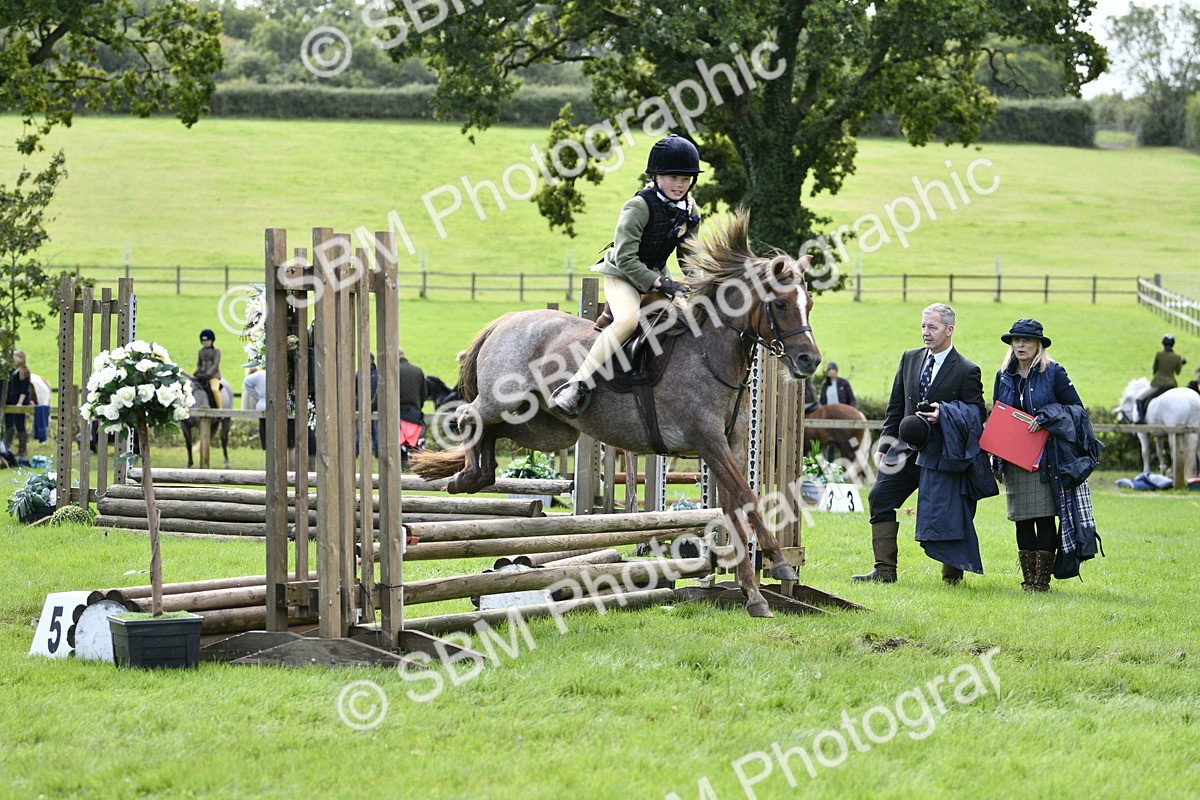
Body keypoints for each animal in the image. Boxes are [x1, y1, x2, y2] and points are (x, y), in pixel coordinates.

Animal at [411, 212, 823, 617]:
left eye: (809, 304)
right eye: (782, 305)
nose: (810, 361)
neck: (710, 352)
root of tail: (507, 320)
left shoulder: (730, 445)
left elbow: (738, 506)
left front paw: (754, 596)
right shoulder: (708, 440)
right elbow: (747, 498)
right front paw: (778, 562)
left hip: (548, 428)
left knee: (494, 432)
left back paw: (474, 476)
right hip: (503, 399)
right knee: (469, 415)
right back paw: (467, 474)